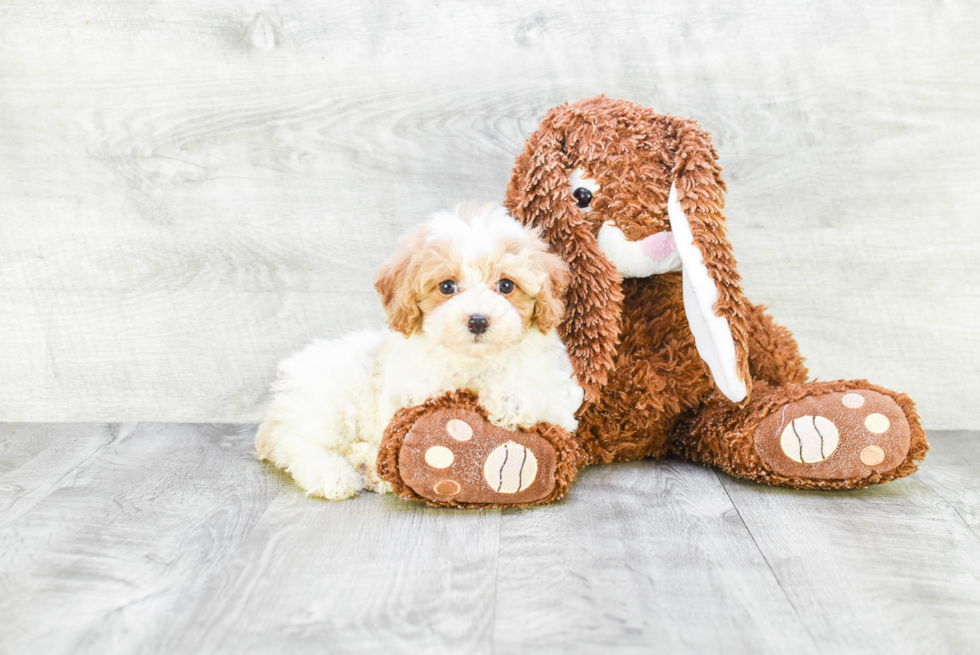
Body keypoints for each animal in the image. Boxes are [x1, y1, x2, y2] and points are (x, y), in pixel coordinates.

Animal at [256, 208, 584, 500]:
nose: (478, 320)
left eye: (506, 285)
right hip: (328, 402)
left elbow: (538, 390)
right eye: (447, 286)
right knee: (296, 443)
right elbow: (418, 389)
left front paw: (508, 401)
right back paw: (333, 476)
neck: (474, 362)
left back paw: (368, 467)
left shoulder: (561, 399)